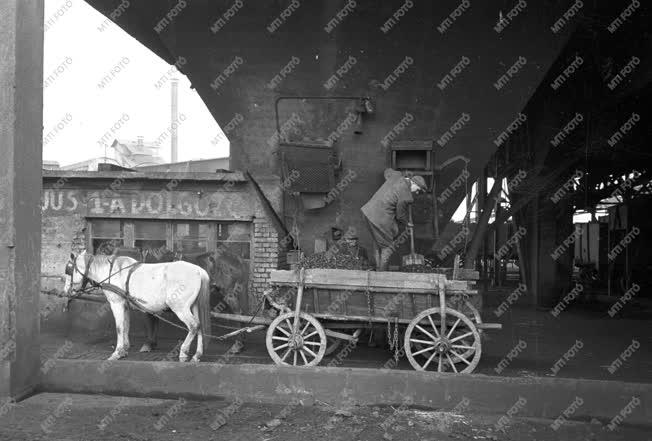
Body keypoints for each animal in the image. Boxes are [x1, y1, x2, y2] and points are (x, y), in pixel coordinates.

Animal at [65, 251, 210, 360]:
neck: (112, 272)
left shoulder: (116, 303)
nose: (66, 291)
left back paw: (184, 352)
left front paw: (117, 353)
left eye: (69, 270)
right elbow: (125, 326)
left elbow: (119, 327)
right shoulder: (125, 305)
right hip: (194, 306)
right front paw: (124, 350)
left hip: (180, 307)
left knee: (193, 326)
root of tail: (199, 271)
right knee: (200, 326)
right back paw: (197, 355)